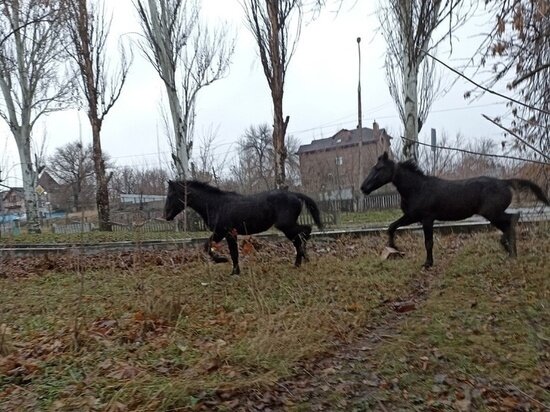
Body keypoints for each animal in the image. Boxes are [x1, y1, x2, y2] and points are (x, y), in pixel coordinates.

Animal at [164, 179, 324, 274]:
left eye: (171, 194)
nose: (166, 215)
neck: (216, 205)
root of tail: (295, 195)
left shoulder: (224, 232)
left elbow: (218, 249)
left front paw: (224, 262)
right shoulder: (225, 233)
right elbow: (225, 250)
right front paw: (234, 270)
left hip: (286, 225)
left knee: (304, 233)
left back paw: (301, 260)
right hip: (288, 226)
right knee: (302, 235)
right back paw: (301, 261)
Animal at [362, 153, 550, 268]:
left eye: (378, 168)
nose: (363, 188)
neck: (417, 188)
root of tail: (505, 182)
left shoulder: (427, 218)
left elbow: (428, 242)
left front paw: (428, 263)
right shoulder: (412, 216)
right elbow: (392, 226)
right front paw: (393, 247)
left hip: (492, 213)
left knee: (512, 220)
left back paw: (509, 250)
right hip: (493, 214)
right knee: (511, 222)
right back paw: (511, 254)